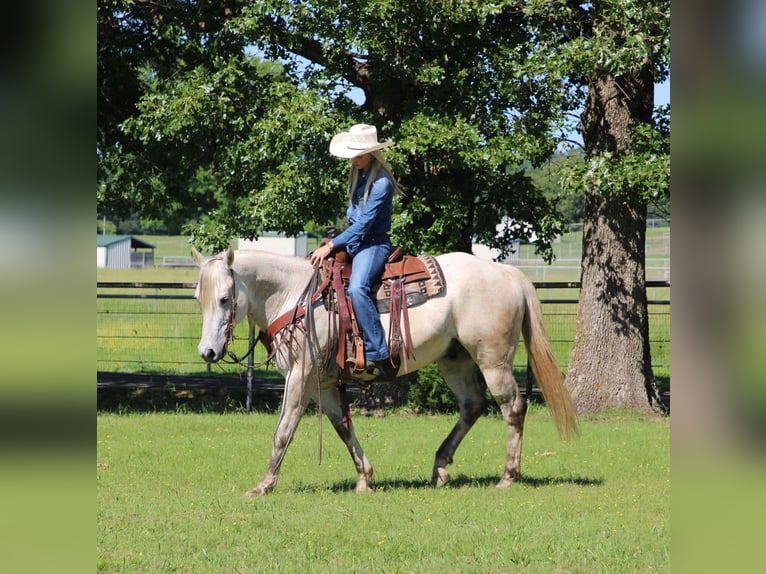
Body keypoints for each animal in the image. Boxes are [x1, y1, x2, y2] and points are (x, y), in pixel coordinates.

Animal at [192, 246, 578, 496]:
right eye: (198, 298)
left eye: (225, 299)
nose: (207, 352)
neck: (294, 296)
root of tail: (509, 274)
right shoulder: (322, 383)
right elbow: (342, 426)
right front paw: (365, 478)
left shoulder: (300, 376)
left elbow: (283, 432)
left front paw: (264, 485)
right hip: (454, 359)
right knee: (472, 406)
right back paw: (441, 467)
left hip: (492, 360)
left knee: (512, 407)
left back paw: (508, 477)